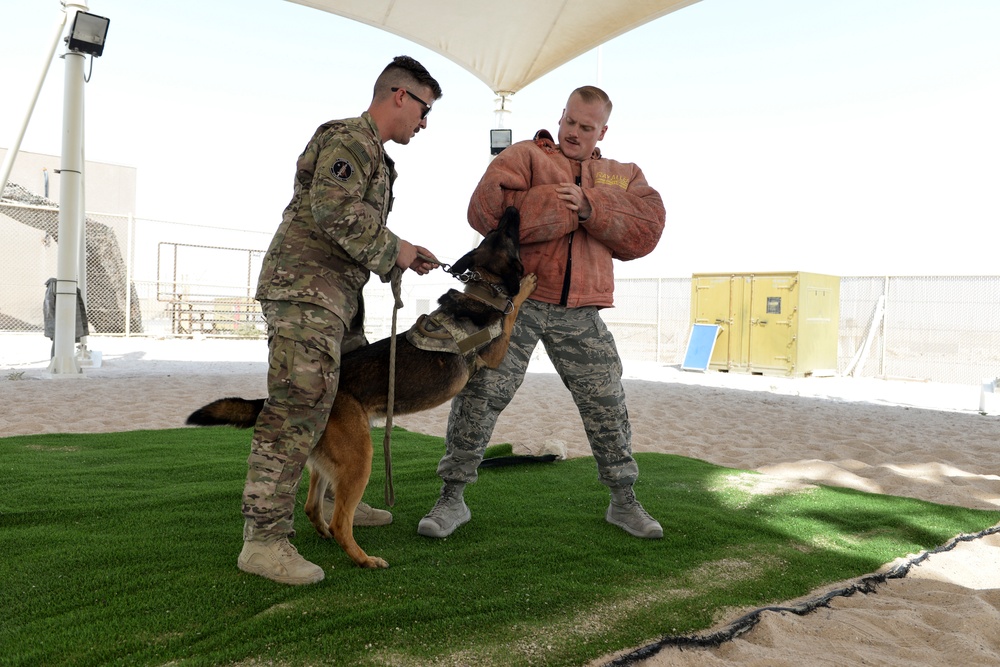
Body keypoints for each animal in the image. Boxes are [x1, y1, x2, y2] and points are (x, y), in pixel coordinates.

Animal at [185, 207, 536, 568]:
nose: (512, 210)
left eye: (497, 230)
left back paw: (326, 534)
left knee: (313, 507)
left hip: (329, 460)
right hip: (360, 458)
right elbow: (511, 312)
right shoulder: (494, 352)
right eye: (508, 233)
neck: (482, 288)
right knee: (341, 521)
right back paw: (364, 559)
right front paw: (526, 286)